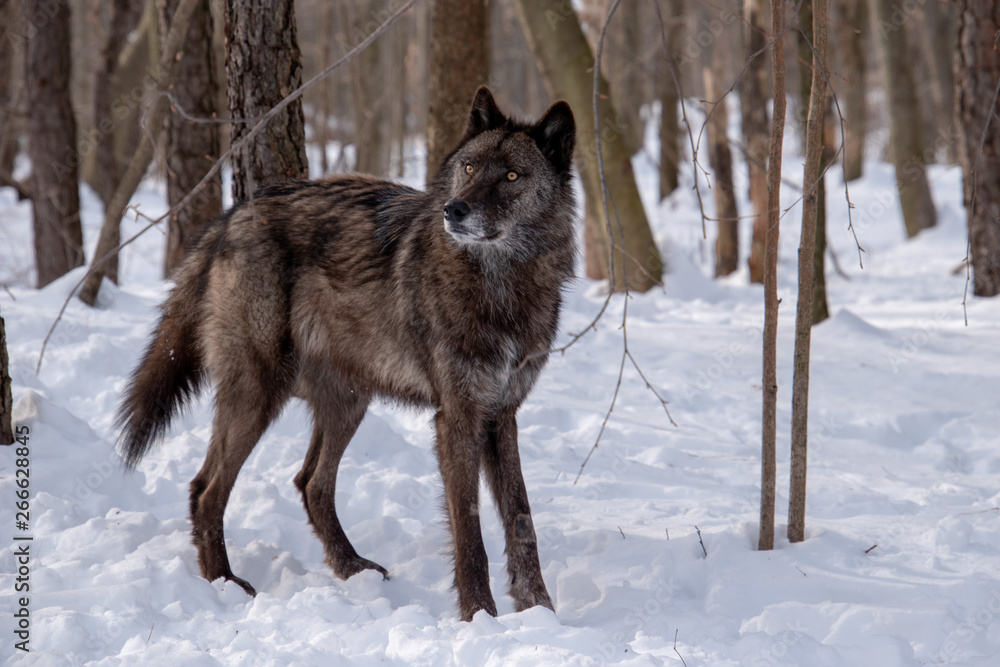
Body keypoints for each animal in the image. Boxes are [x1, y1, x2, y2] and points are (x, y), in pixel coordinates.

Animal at [115, 87, 577, 621]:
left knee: (309, 482)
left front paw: (539, 610)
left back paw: (351, 567)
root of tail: (232, 216)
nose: (455, 210)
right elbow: (469, 529)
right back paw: (224, 584)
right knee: (207, 489)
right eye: (468, 167)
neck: (500, 287)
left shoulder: (502, 414)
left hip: (348, 401)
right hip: (260, 393)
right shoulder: (458, 417)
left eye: (511, 176)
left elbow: (522, 519)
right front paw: (480, 615)